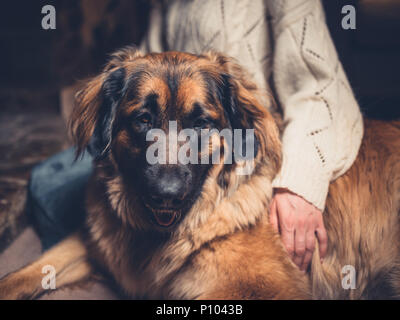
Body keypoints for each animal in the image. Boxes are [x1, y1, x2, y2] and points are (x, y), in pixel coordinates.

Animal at [0, 48, 400, 300]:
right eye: (143, 119)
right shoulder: (99, 241)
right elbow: (32, 268)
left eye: (201, 124)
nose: (167, 194)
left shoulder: (262, 287)